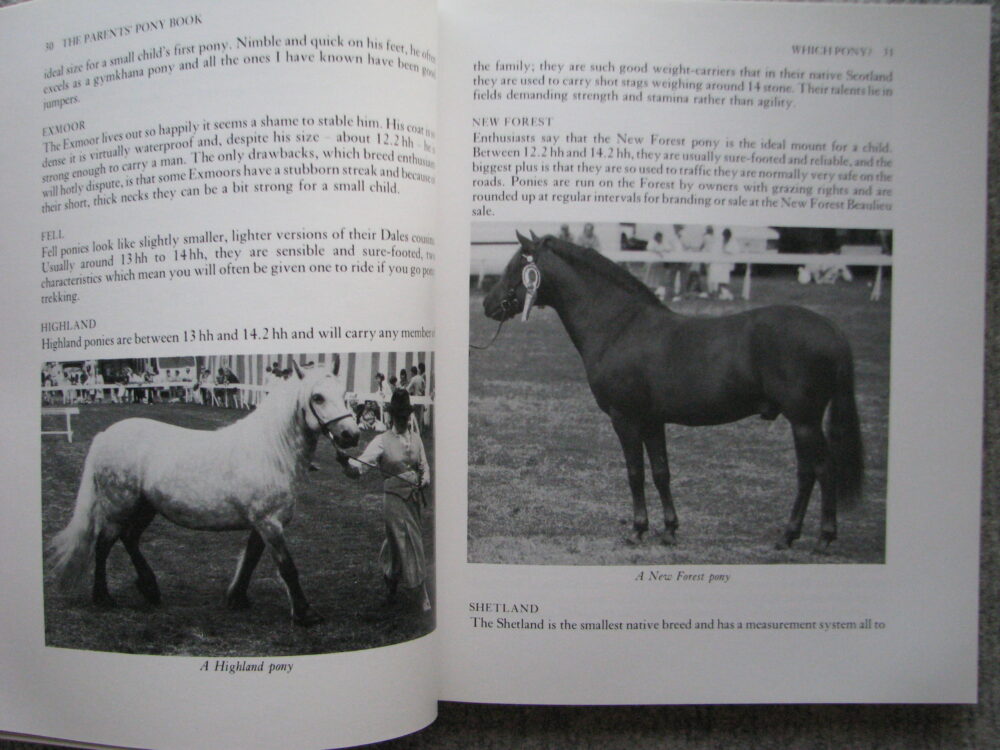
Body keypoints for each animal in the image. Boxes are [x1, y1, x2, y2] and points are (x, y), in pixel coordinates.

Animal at [49, 359, 360, 626]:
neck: (270, 449)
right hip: (118, 507)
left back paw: (149, 588)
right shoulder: (269, 523)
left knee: (129, 538)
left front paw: (236, 599)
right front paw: (306, 614)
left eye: (344, 394)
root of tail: (105, 436)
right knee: (103, 545)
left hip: (145, 507)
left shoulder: (262, 523)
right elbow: (287, 567)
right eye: (317, 397)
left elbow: (250, 559)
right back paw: (104, 597)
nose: (351, 435)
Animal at [483, 232, 863, 551]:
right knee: (812, 472)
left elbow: (635, 474)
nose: (488, 304)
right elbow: (661, 473)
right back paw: (802, 535)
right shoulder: (653, 421)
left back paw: (812, 536)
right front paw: (668, 529)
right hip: (803, 422)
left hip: (804, 421)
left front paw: (638, 529)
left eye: (517, 267)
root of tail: (832, 330)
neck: (619, 327)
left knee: (819, 471)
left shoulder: (625, 419)